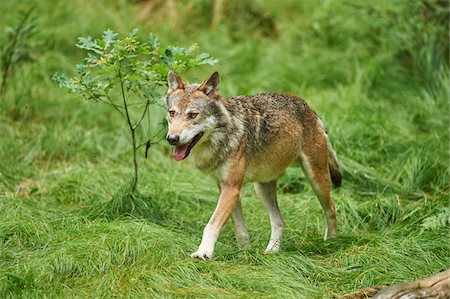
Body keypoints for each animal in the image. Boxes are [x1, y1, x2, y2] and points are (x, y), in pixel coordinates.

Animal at [164, 70, 342, 260]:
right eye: (172, 113)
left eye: (193, 115)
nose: (172, 138)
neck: (222, 136)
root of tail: (311, 109)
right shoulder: (226, 188)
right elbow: (240, 229)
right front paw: (245, 253)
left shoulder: (232, 189)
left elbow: (211, 225)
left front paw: (203, 253)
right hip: (262, 189)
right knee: (279, 221)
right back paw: (272, 251)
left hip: (316, 180)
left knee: (331, 208)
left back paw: (331, 242)